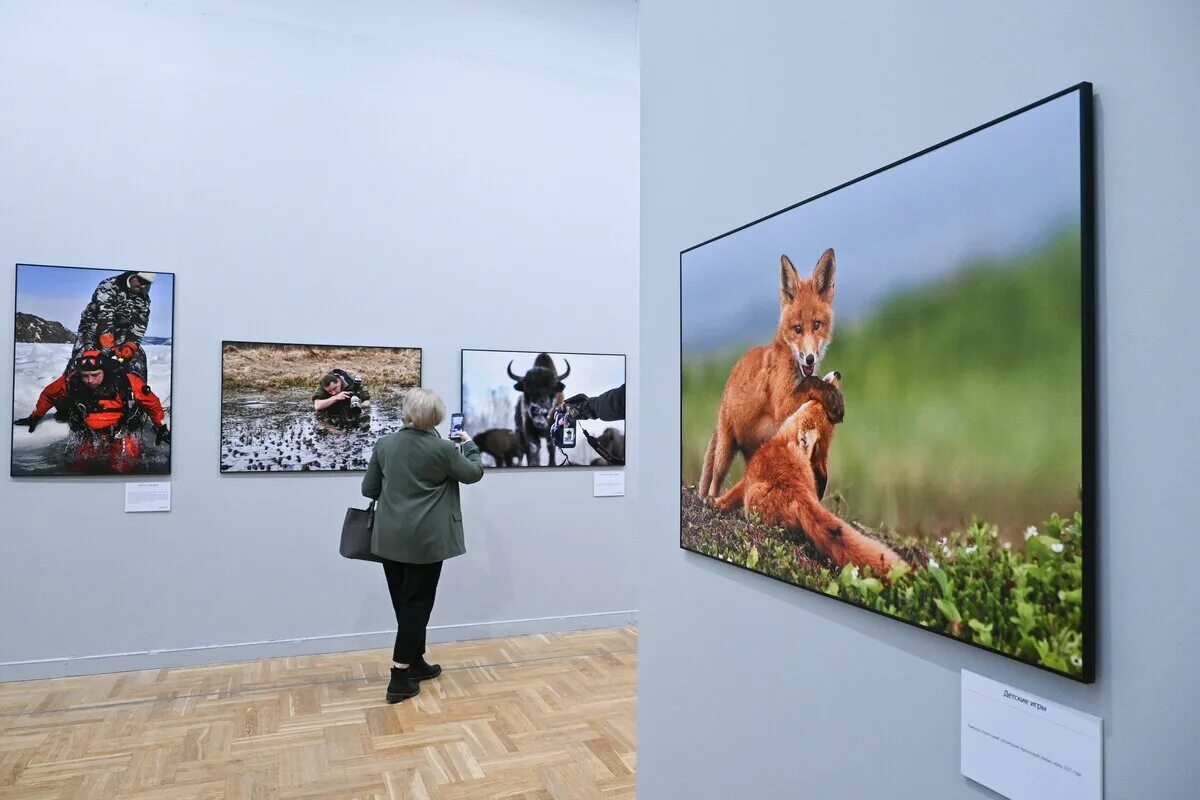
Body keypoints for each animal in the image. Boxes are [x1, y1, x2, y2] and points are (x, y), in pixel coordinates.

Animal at [696, 247, 844, 503]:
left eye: (817, 325)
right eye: (797, 329)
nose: (809, 359)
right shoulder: (783, 406)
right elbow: (811, 384)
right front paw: (832, 397)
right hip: (725, 448)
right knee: (714, 483)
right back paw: (710, 501)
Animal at [710, 371, 902, 578]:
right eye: (819, 405)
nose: (838, 374)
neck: (783, 440)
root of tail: (799, 495)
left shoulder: (746, 479)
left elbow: (731, 496)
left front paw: (714, 503)